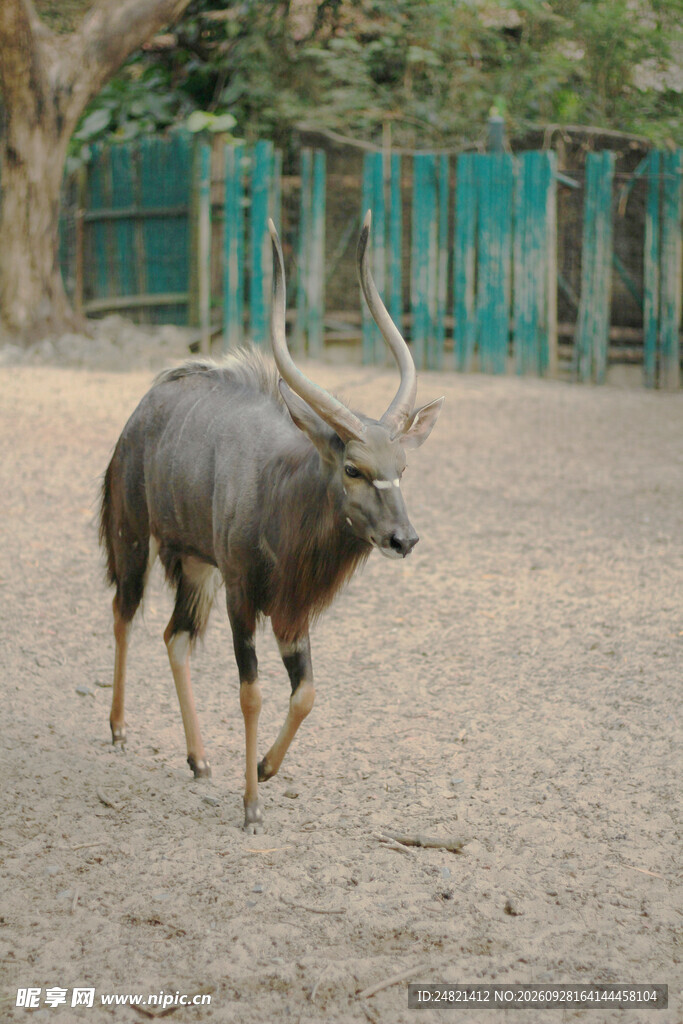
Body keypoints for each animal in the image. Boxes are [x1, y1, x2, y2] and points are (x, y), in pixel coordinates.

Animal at [99, 212, 443, 833]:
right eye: (353, 467)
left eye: (401, 467)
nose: (403, 539)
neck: (280, 489)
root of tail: (141, 412)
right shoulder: (243, 596)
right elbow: (251, 693)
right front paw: (252, 807)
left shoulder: (289, 609)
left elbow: (305, 694)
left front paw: (263, 768)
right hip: (135, 539)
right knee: (124, 614)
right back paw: (118, 729)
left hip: (195, 568)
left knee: (175, 637)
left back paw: (199, 759)